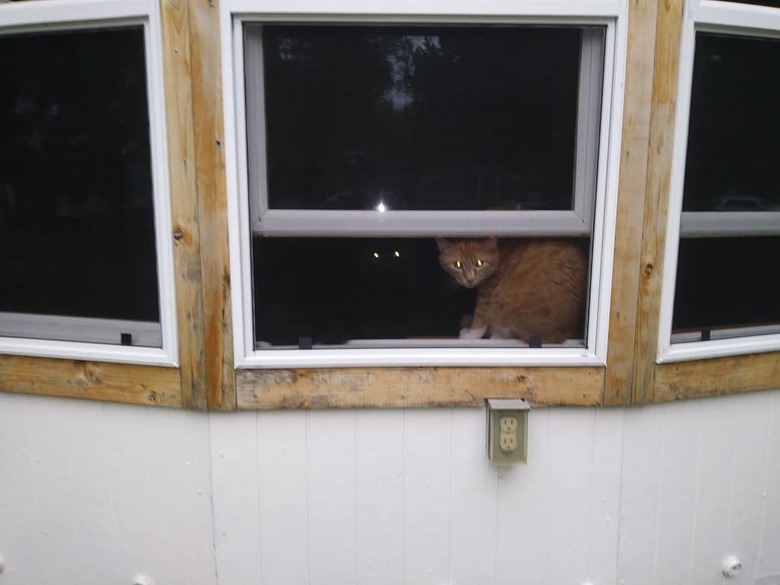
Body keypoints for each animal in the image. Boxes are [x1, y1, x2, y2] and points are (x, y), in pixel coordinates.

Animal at [436, 237, 588, 342]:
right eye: (457, 264)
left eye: (479, 263)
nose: (469, 279)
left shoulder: (489, 287)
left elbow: (481, 314)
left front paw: (471, 335)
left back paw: (497, 336)